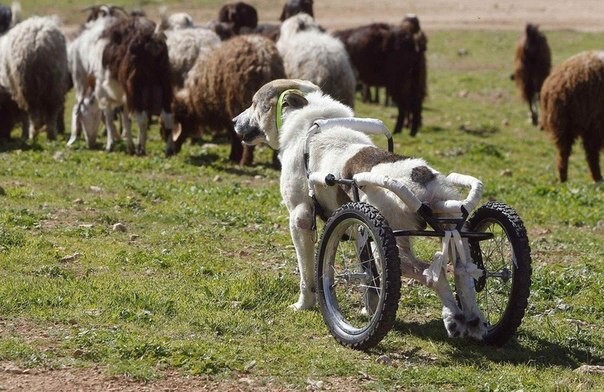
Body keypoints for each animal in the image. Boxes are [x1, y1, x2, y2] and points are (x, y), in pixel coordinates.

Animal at [168, 32, 286, 164]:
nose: (169, 153)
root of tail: (264, 60)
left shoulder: (225, 112)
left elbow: (234, 135)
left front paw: (233, 156)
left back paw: (245, 161)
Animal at [234, 78, 488, 338]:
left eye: (253, 103)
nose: (234, 120)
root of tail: (424, 180)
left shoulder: (300, 219)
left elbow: (307, 275)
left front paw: (304, 305)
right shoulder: (359, 227)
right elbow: (369, 276)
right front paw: (370, 309)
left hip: (391, 244)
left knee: (432, 274)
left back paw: (453, 317)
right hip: (453, 227)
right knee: (463, 272)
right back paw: (475, 320)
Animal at [536, 50, 604, 182]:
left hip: (565, 124)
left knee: (564, 153)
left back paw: (563, 179)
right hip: (590, 122)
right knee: (590, 153)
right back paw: (597, 179)